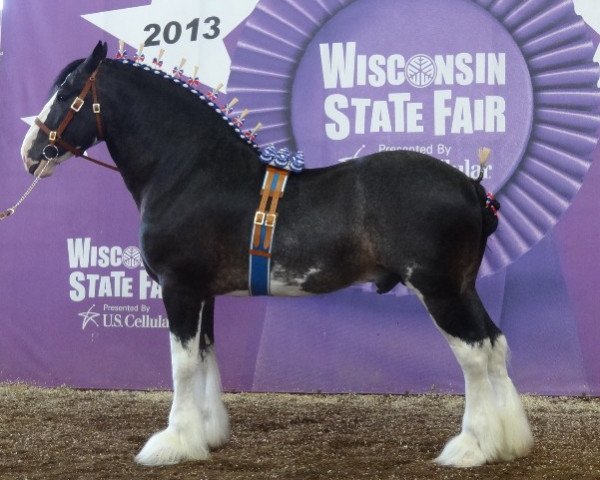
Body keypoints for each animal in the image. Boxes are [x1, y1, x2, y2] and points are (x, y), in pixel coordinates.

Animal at [19, 42, 536, 468]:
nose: (30, 152)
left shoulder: (179, 286)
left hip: (440, 289)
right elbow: (206, 355)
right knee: (495, 345)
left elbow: (183, 364)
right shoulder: (203, 292)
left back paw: (470, 448)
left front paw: (173, 443)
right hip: (463, 287)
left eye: (65, 93)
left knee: (473, 355)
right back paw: (508, 442)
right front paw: (207, 435)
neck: (189, 170)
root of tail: (472, 186)